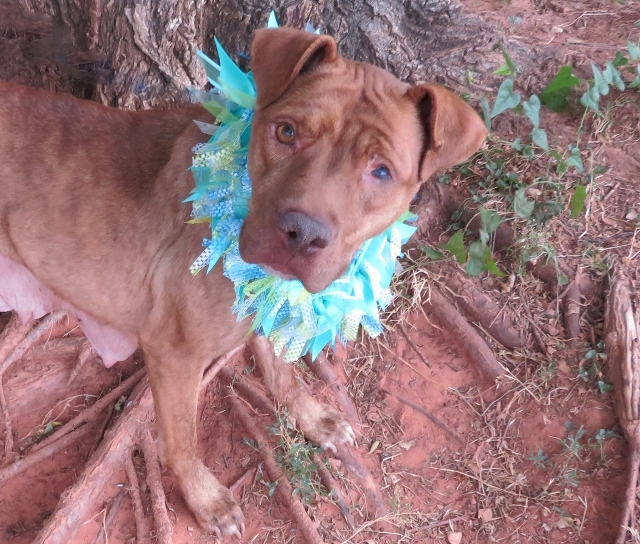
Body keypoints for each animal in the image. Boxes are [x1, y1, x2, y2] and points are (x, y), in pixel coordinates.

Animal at [0, 24, 488, 536]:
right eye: (287, 132)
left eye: (381, 172)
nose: (302, 233)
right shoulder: (174, 355)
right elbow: (182, 441)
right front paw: (205, 499)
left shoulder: (269, 300)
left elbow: (282, 372)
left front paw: (311, 417)